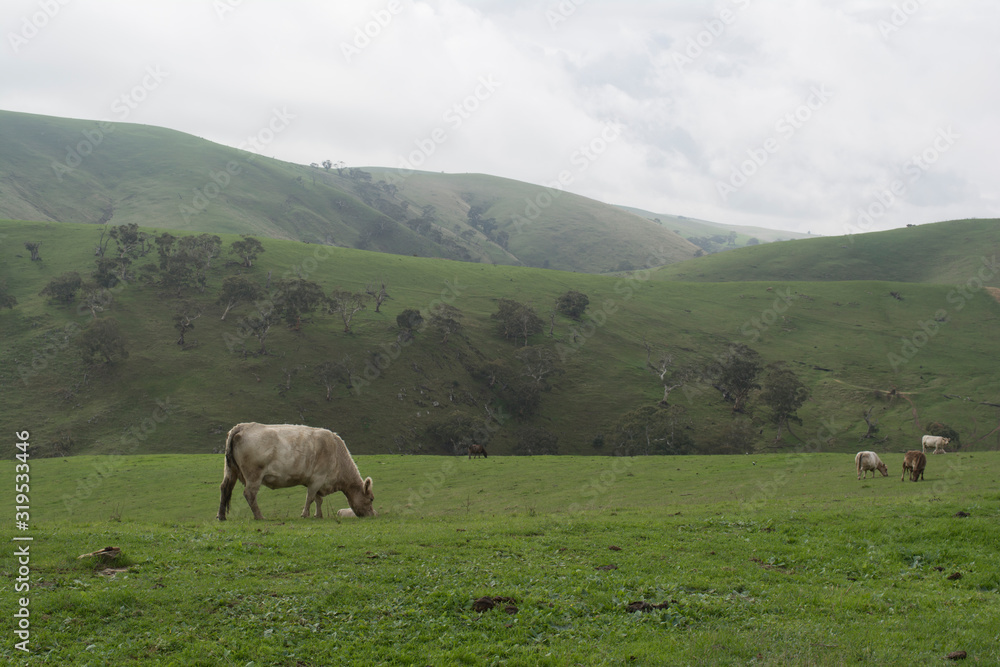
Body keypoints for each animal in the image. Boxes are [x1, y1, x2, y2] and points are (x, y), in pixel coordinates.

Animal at [218, 422, 376, 520]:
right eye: (371, 499)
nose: (373, 515)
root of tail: (243, 426)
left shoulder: (318, 482)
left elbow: (318, 499)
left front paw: (318, 515)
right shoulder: (318, 478)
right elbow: (311, 498)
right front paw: (305, 514)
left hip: (230, 471)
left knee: (225, 488)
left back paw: (221, 516)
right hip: (254, 475)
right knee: (249, 494)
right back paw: (259, 516)